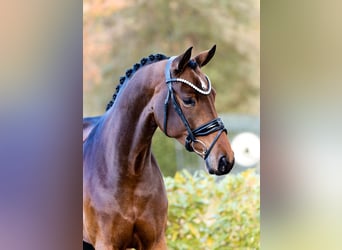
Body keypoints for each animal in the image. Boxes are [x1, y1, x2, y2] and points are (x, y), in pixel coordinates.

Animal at [83, 46, 235, 249]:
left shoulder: (156, 241)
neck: (126, 171)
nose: (226, 159)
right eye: (188, 100)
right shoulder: (105, 243)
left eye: (214, 95)